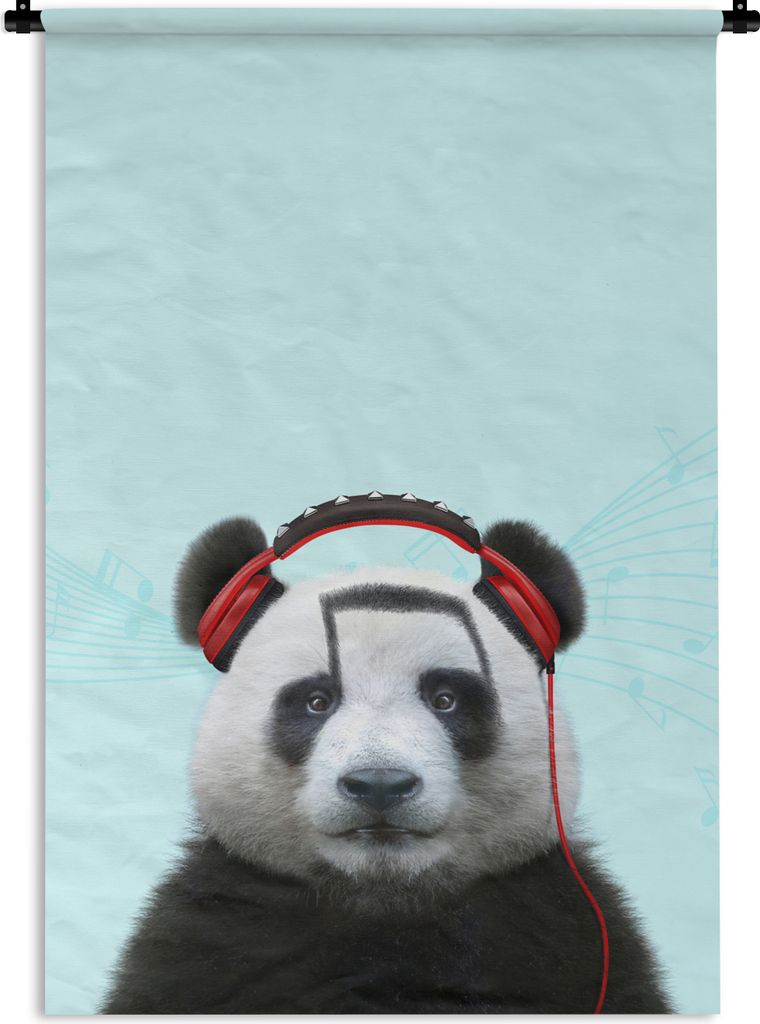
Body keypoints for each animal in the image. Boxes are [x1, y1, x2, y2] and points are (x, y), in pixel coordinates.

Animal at [101, 512, 672, 1014]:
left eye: (445, 699)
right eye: (317, 701)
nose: (379, 785)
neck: (383, 901)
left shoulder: (564, 933)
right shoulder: (213, 937)